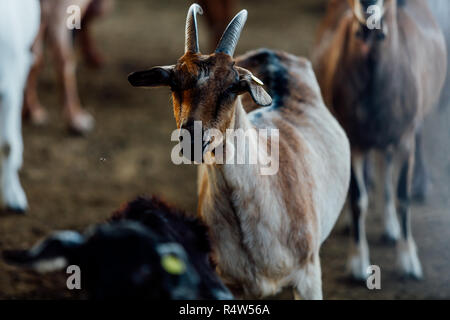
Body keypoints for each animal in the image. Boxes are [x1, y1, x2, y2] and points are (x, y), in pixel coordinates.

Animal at [128, 3, 350, 300]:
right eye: (174, 83)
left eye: (233, 86)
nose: (192, 138)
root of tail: (271, 54)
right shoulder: (230, 284)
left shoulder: (309, 277)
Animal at [312, 0, 446, 280]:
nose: (368, 5)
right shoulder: (353, 137)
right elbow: (357, 198)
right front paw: (357, 262)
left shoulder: (405, 137)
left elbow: (402, 194)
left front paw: (408, 260)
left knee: (386, 168)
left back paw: (391, 227)